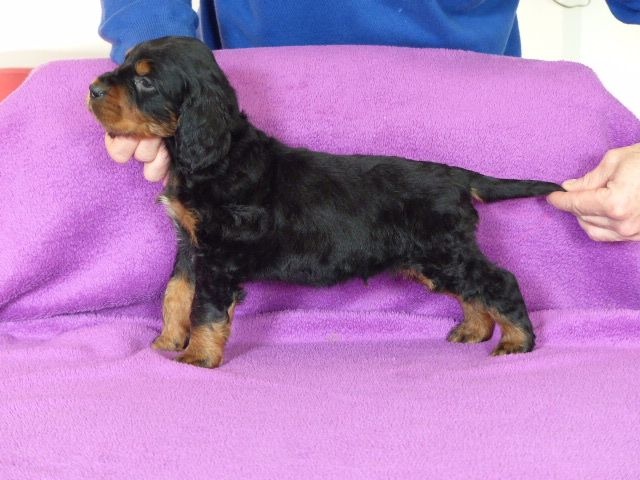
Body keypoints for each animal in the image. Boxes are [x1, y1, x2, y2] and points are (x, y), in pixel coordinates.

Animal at [88, 36, 563, 368]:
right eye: (125, 65)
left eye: (146, 80)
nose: (92, 89)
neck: (217, 154)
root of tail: (458, 176)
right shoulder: (191, 244)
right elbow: (176, 294)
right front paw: (165, 342)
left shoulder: (219, 254)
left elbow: (204, 308)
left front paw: (196, 358)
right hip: (433, 259)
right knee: (473, 291)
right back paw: (475, 330)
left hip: (445, 251)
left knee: (499, 281)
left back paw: (517, 342)